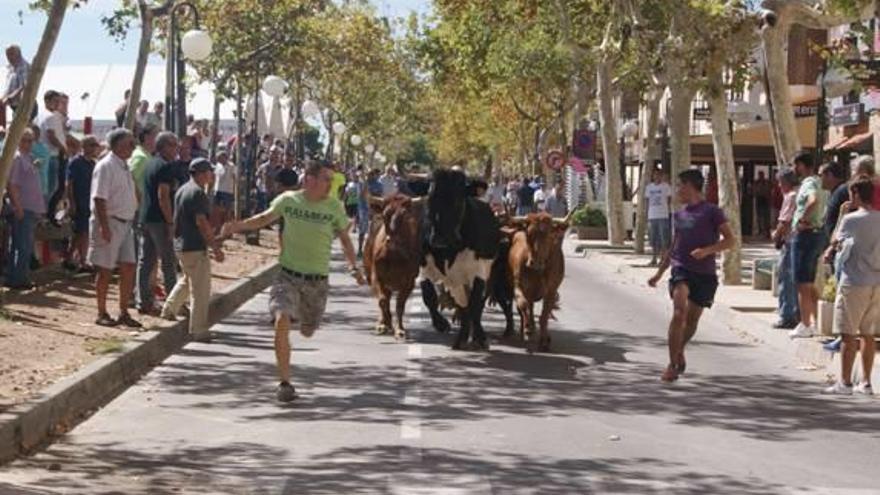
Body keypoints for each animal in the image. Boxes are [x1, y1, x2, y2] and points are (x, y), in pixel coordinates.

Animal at [360, 194, 422, 340]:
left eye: (405, 215)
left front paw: (400, 330)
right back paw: (383, 322)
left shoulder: (409, 281)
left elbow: (400, 305)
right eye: (385, 215)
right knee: (385, 299)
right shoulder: (375, 277)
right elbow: (383, 301)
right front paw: (384, 324)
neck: (394, 255)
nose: (393, 241)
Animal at [422, 169, 502, 350]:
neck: (449, 250)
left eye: (459, 201)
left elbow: (475, 306)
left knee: (475, 306)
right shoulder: (424, 268)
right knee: (463, 304)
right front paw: (441, 324)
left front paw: (480, 338)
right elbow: (428, 296)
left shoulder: (478, 273)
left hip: (485, 274)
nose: (439, 238)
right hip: (456, 282)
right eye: (429, 199)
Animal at [506, 212, 568, 352]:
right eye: (529, 233)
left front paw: (544, 341)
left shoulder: (551, 291)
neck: (538, 271)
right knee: (527, 307)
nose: (535, 263)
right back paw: (527, 329)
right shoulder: (518, 285)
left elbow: (544, 316)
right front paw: (527, 329)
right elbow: (523, 305)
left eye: (549, 234)